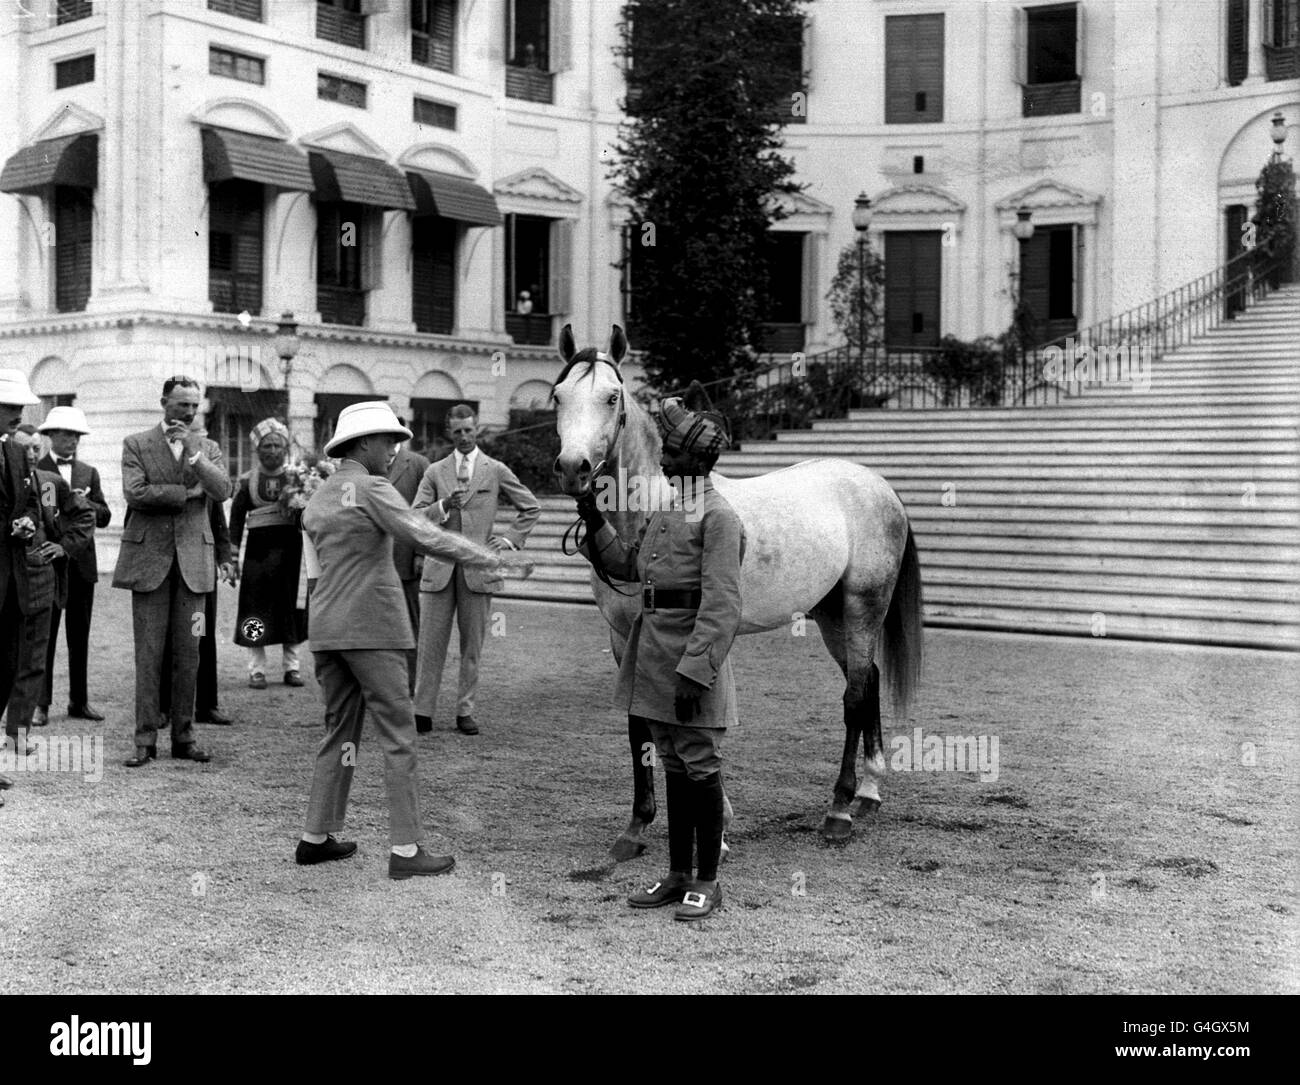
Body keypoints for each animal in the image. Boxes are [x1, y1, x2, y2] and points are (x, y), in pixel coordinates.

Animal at [551, 326, 925, 862]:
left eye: (612, 396)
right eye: (558, 395)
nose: (573, 469)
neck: (655, 512)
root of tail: (879, 486)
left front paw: (717, 826)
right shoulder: (624, 636)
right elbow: (639, 723)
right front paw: (638, 825)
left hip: (862, 607)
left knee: (854, 696)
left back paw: (839, 810)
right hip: (832, 615)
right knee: (868, 679)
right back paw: (869, 792)